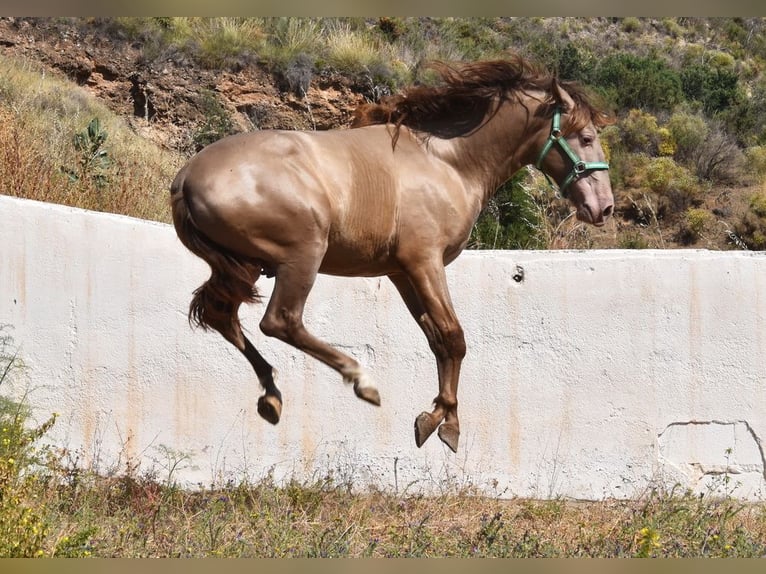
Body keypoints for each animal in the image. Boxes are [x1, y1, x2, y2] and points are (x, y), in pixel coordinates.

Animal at [171, 57, 616, 454]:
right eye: (586, 137)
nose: (604, 208)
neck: (447, 161)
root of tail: (186, 177)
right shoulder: (425, 262)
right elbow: (454, 337)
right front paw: (447, 424)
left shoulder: (402, 271)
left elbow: (436, 338)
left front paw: (436, 418)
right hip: (302, 256)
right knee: (279, 321)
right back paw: (361, 381)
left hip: (241, 266)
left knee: (221, 317)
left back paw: (272, 394)